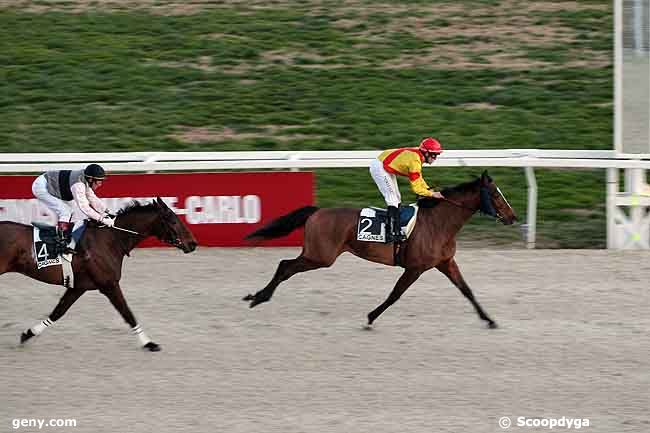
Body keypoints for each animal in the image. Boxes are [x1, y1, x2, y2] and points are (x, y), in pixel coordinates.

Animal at [1, 197, 196, 350]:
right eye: (173, 221)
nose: (193, 243)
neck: (111, 240)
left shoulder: (78, 287)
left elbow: (58, 312)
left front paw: (28, 334)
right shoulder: (109, 284)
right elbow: (127, 313)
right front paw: (149, 343)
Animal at [243, 171, 516, 328]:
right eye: (495, 194)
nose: (512, 217)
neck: (438, 223)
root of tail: (317, 211)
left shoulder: (445, 263)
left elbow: (467, 290)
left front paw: (489, 319)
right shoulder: (415, 268)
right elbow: (395, 294)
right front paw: (371, 317)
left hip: (317, 255)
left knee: (285, 266)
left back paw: (257, 296)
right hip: (320, 256)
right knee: (285, 266)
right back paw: (258, 297)